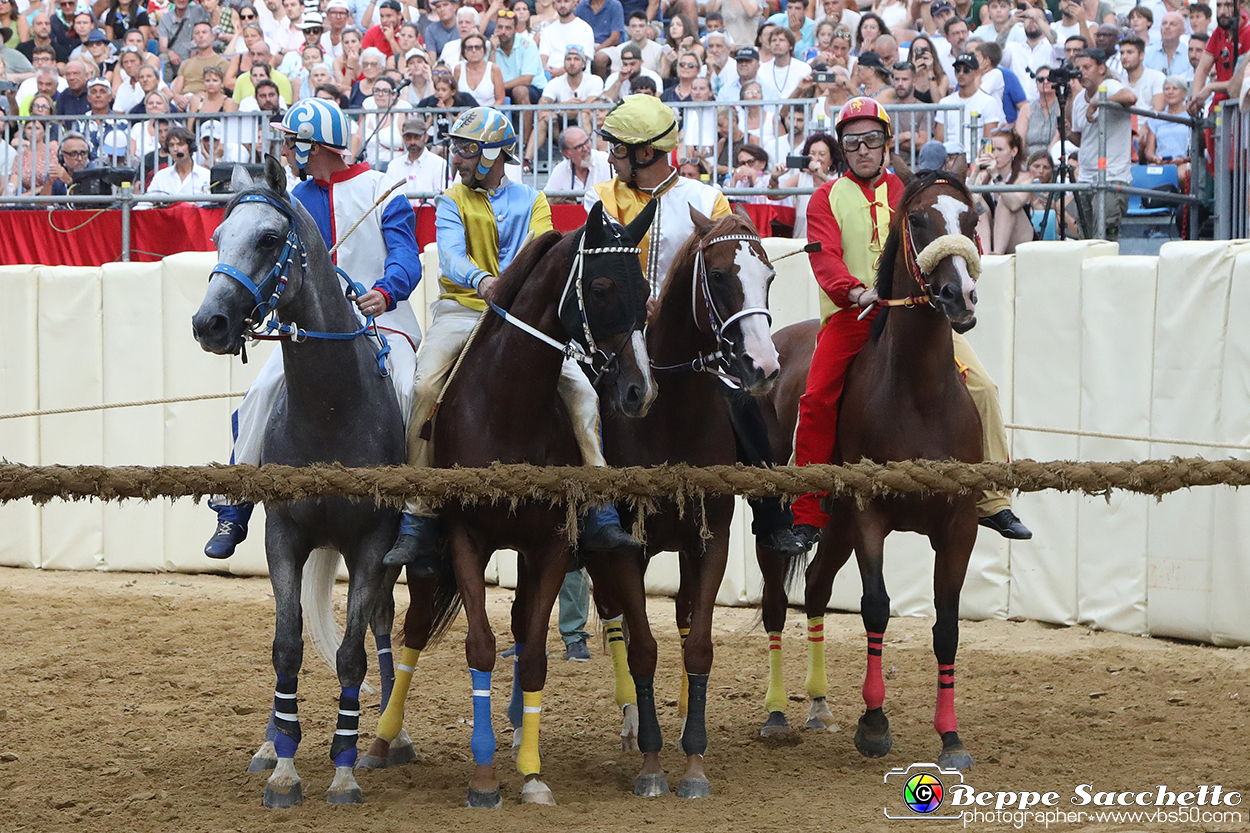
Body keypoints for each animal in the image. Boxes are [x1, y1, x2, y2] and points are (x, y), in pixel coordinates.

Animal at [360, 201, 660, 805]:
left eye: (644, 290)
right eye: (600, 285)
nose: (639, 389)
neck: (506, 406)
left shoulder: (549, 545)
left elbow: (536, 650)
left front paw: (531, 774)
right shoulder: (465, 539)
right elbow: (479, 645)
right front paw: (482, 778)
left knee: (538, 626)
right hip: (428, 563)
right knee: (416, 630)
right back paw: (381, 740)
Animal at [590, 203, 785, 795]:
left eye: (769, 276)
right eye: (718, 276)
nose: (763, 367)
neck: (670, 415)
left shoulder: (710, 539)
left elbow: (697, 643)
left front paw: (694, 760)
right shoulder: (626, 549)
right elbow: (642, 649)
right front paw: (652, 764)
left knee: (677, 612)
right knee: (614, 619)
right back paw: (633, 724)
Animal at [755, 167, 980, 765]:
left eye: (971, 218)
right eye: (919, 220)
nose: (959, 295)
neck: (920, 395)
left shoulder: (960, 525)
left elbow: (946, 626)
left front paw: (951, 736)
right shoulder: (868, 514)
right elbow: (875, 606)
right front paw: (874, 723)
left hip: (832, 524)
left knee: (814, 587)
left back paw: (817, 705)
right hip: (773, 518)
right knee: (775, 603)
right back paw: (778, 712)